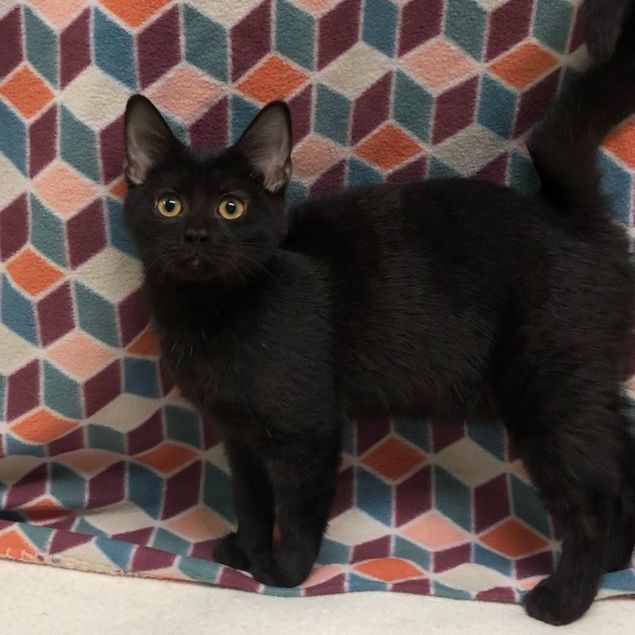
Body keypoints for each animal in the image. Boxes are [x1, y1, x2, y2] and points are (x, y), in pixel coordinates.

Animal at [122, 3, 635, 626]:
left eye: (231, 207)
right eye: (169, 204)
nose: (197, 234)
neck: (209, 311)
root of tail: (574, 218)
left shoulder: (304, 429)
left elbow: (295, 510)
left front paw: (283, 573)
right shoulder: (238, 434)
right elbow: (250, 499)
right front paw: (246, 551)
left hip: (549, 387)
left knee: (588, 499)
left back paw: (566, 599)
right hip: (587, 385)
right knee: (621, 462)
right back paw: (615, 561)